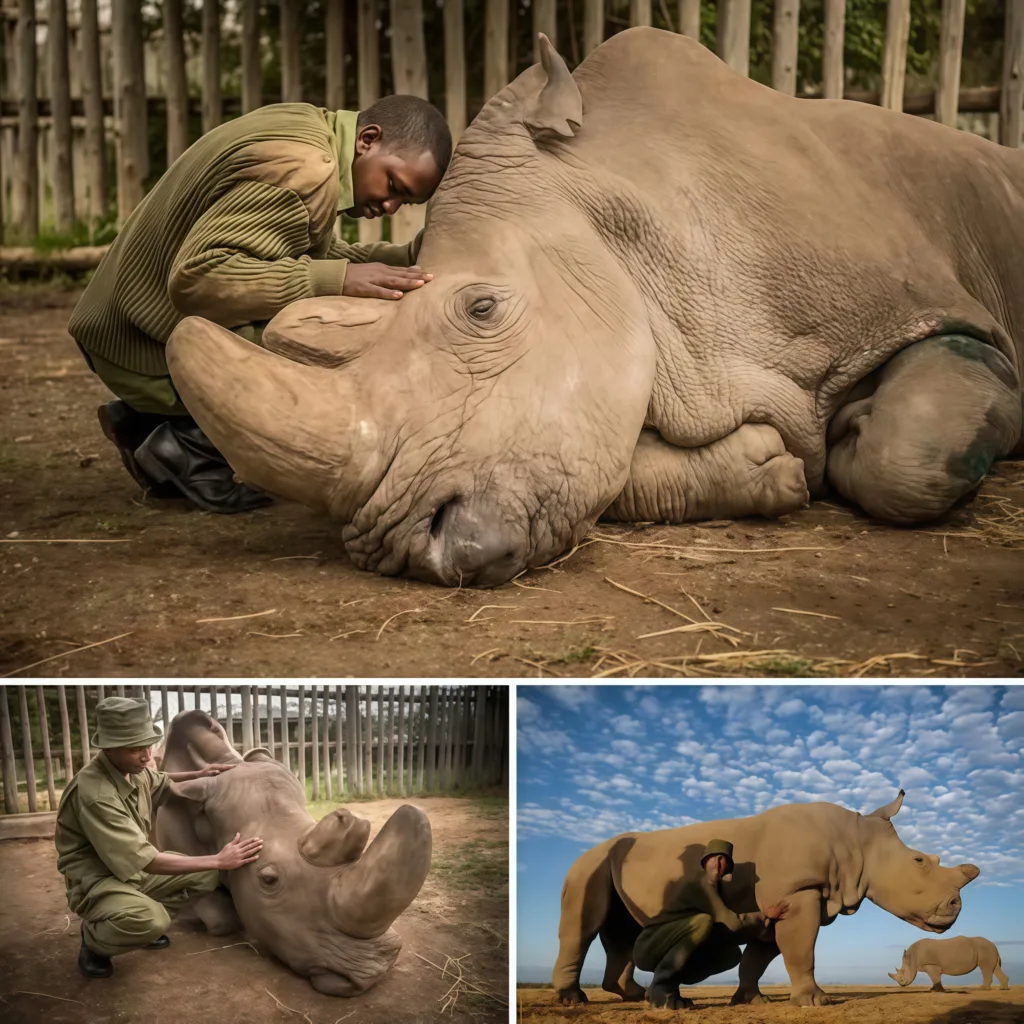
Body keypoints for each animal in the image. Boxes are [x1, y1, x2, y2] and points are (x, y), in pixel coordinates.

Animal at [165, 28, 1023, 588]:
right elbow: (607, 468)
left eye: (482, 308)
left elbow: (905, 456)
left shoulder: (936, 313)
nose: (408, 550)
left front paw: (851, 438)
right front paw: (773, 468)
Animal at [552, 790, 979, 1006]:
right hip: (587, 865)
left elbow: (758, 958)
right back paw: (576, 1001)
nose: (956, 908)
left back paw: (635, 996)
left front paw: (750, 1002)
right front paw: (815, 1003)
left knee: (621, 935)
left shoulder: (786, 901)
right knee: (583, 927)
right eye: (920, 861)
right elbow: (801, 951)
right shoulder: (799, 894)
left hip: (610, 866)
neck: (857, 840)